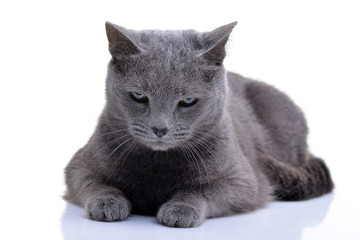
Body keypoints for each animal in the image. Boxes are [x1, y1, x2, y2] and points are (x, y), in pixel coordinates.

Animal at [63, 21, 334, 228]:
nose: (160, 129)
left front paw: (180, 209)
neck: (158, 166)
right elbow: (94, 182)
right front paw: (107, 203)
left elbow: (202, 190)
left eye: (188, 101)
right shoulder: (79, 165)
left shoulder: (244, 181)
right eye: (138, 96)